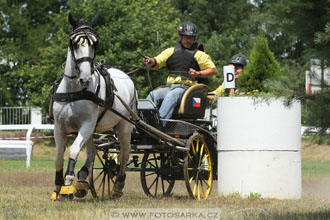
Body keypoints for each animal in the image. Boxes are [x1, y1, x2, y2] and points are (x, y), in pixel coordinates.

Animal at [51, 13, 136, 199]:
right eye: (74, 43)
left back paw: (118, 187)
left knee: (125, 153)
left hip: (124, 126)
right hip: (92, 129)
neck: (73, 91)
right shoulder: (59, 126)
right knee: (91, 151)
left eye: (95, 43)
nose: (85, 79)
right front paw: (57, 188)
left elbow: (73, 150)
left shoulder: (87, 123)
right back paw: (83, 181)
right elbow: (59, 157)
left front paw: (67, 186)